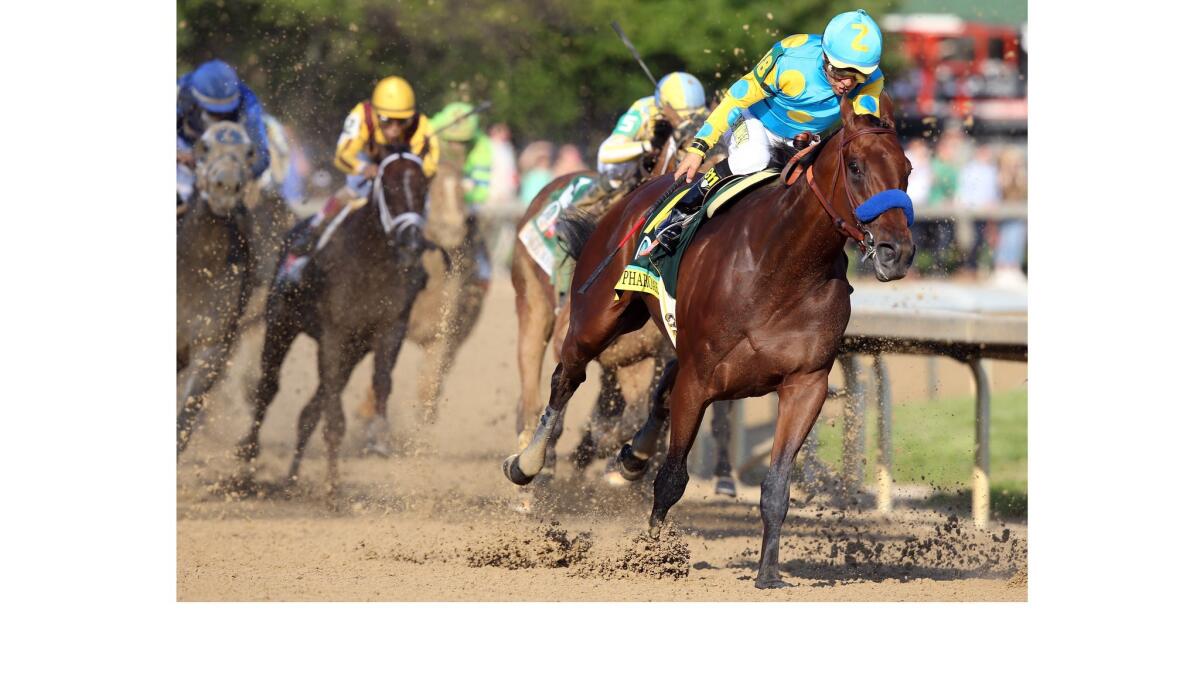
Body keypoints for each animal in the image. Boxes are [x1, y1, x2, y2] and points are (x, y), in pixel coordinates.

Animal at [236, 150, 429, 497]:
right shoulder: (333, 332)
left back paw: (296, 478)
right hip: (281, 322)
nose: (410, 241)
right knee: (268, 386)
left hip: (353, 350)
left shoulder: (387, 329)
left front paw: (377, 439)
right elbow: (332, 415)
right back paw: (248, 458)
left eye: (423, 188)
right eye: (389, 187)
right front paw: (332, 487)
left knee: (311, 409)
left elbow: (381, 381)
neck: (371, 263)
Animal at [504, 93, 907, 588]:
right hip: (591, 315)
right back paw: (527, 464)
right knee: (565, 377)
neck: (783, 266)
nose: (897, 251)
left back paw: (629, 455)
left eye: (907, 168)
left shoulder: (806, 382)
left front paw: (768, 572)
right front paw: (651, 555)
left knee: (648, 397)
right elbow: (671, 477)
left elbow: (777, 484)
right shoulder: (698, 379)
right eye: (855, 167)